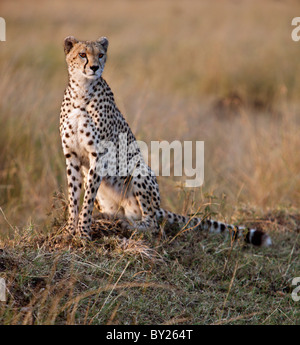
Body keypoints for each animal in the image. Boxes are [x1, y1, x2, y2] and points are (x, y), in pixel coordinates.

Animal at [59, 36, 272, 246]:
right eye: (82, 54)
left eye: (101, 55)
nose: (94, 67)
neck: (82, 91)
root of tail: (157, 207)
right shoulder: (72, 155)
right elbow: (74, 196)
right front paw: (69, 231)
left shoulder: (98, 155)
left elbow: (86, 200)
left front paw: (83, 234)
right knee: (124, 214)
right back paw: (110, 219)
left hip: (139, 169)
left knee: (153, 224)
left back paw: (130, 226)